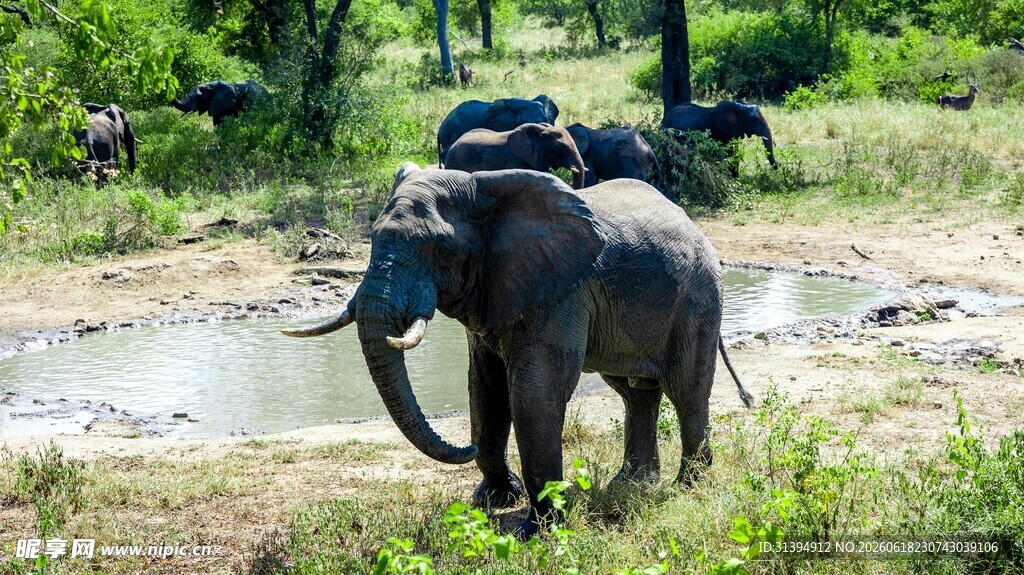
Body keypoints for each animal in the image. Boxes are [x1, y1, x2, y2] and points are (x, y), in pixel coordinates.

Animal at [282, 165, 751, 536]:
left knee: (687, 391)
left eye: (441, 249)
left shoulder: (562, 290)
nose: (465, 448)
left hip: (697, 298)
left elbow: (532, 393)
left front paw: (536, 531)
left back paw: (686, 487)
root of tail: (693, 224)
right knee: (635, 392)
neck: (483, 190)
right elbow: (484, 388)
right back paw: (631, 485)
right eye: (373, 238)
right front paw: (492, 500)